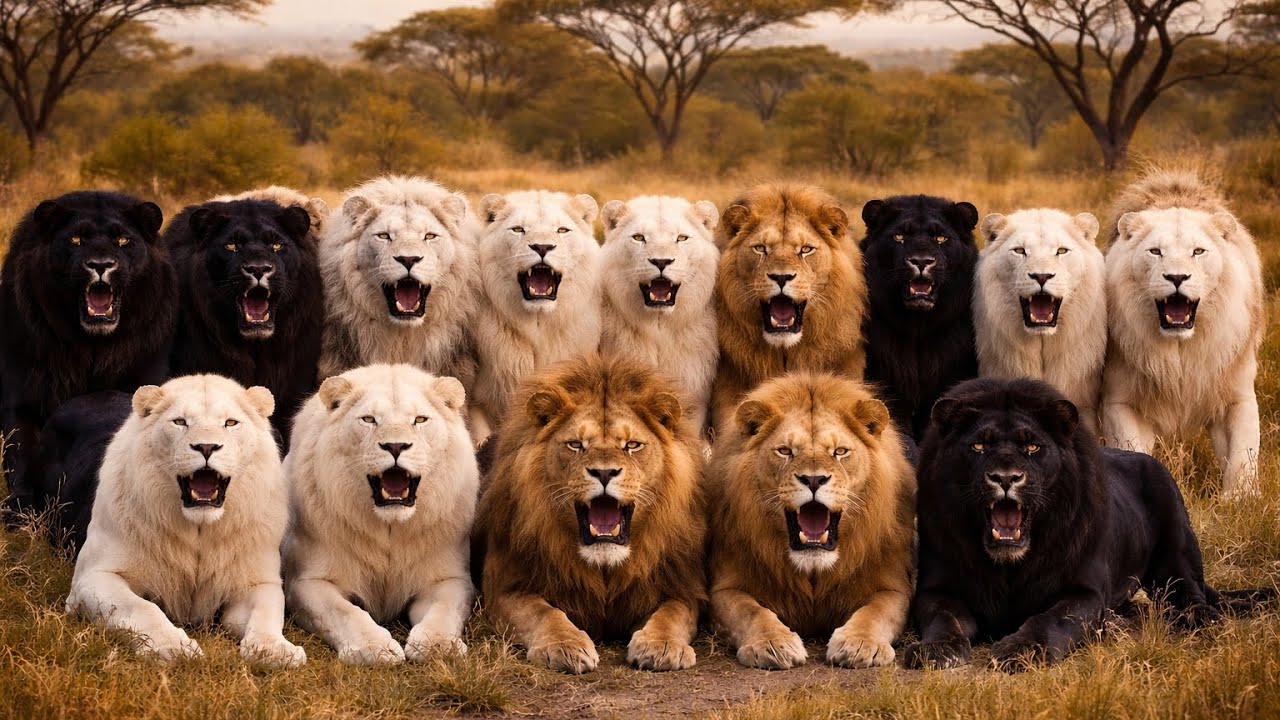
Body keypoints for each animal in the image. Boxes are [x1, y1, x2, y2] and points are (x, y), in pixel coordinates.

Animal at [66, 375, 304, 668]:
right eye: (180, 422)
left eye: (230, 423)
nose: (206, 447)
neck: (199, 529)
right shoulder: (92, 577)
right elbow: (142, 608)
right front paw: (172, 647)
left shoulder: (257, 582)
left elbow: (267, 613)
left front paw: (274, 651)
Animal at [283, 363, 478, 666]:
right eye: (369, 419)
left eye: (420, 419)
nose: (395, 446)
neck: (390, 528)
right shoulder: (306, 583)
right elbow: (344, 612)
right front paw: (374, 648)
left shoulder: (450, 579)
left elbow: (444, 611)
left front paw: (438, 645)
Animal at [478, 353, 706, 674]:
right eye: (576, 444)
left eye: (632, 445)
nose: (604, 472)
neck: (604, 568)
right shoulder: (505, 588)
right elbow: (544, 613)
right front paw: (564, 645)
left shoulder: (681, 586)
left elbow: (671, 614)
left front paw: (661, 646)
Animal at [708, 373, 914, 670]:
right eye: (785, 451)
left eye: (840, 451)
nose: (814, 479)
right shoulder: (725, 588)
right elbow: (751, 611)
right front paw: (772, 643)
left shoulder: (893, 587)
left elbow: (875, 613)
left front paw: (860, 644)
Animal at [1101, 170, 1263, 498]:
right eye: (1155, 251)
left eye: (1198, 251)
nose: (1176, 277)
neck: (1180, 352)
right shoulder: (1120, 402)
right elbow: (1131, 448)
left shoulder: (1237, 393)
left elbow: (1243, 454)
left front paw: (1240, 499)